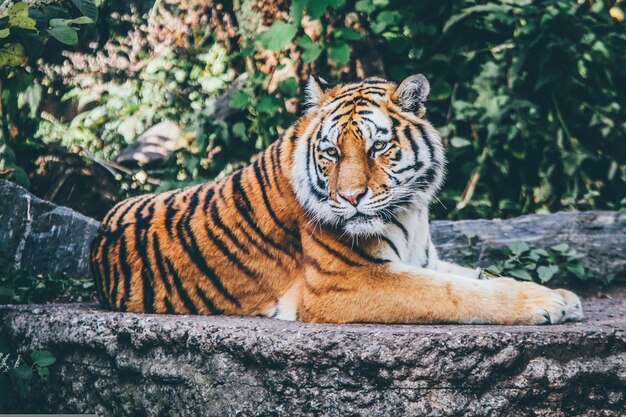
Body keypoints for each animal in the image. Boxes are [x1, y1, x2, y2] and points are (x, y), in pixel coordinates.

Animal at [90, 73, 584, 324]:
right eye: (330, 153)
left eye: (377, 147)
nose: (349, 197)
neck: (411, 211)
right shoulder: (347, 282)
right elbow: (456, 293)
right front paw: (545, 304)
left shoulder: (423, 258)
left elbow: (477, 275)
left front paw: (560, 294)